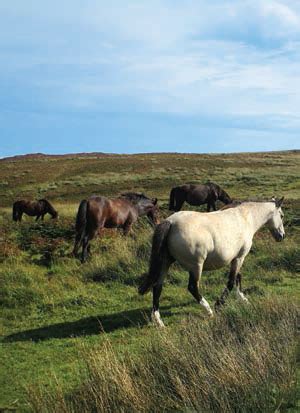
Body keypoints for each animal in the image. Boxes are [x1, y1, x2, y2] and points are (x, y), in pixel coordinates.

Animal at [138, 198, 284, 326]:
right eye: (281, 216)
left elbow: (238, 278)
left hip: (165, 263)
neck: (246, 218)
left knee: (157, 287)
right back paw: (208, 310)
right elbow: (231, 282)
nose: (282, 236)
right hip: (196, 266)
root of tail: (170, 222)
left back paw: (159, 321)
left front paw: (243, 299)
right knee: (192, 287)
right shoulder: (239, 258)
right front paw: (219, 304)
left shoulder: (236, 258)